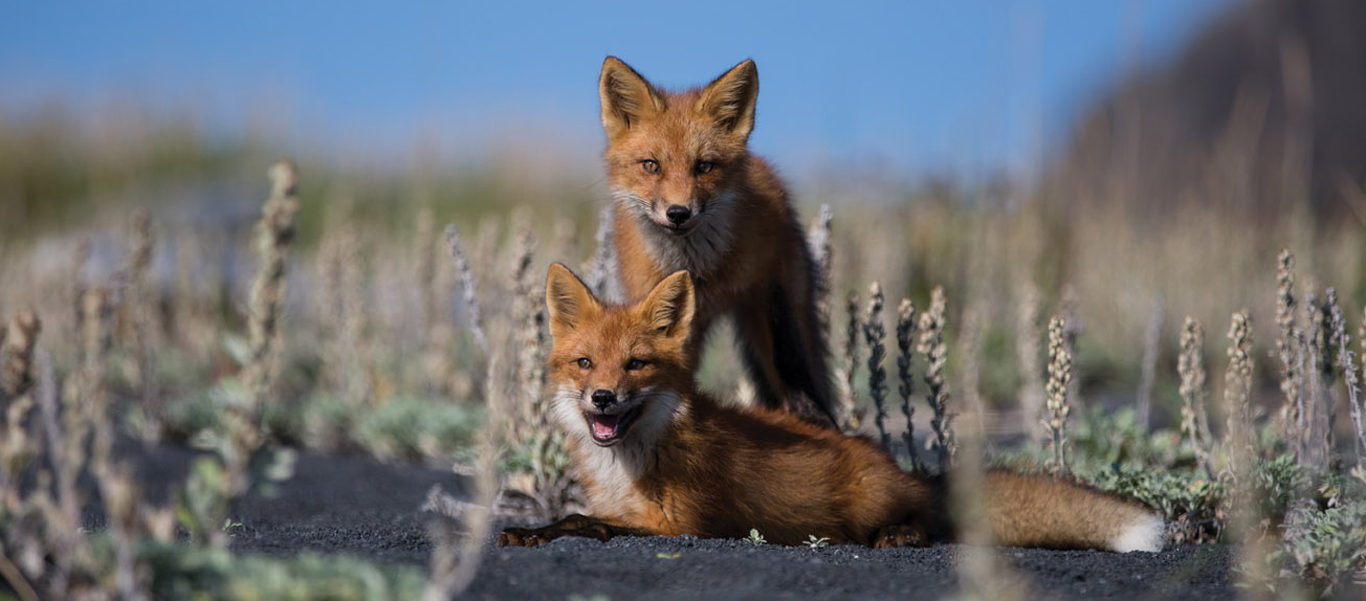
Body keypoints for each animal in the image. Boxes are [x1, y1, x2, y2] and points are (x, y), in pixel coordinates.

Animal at [497, 263, 1166, 552]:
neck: (639, 456)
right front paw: (526, 529)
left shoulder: (686, 524)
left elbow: (582, 520)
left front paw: (537, 531)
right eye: (586, 364)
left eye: (635, 365)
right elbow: (582, 513)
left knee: (927, 522)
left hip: (872, 503)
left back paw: (901, 535)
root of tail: (903, 469)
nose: (603, 398)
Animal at [597, 56, 838, 427]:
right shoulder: (668, 323)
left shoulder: (771, 282)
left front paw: (809, 414)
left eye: (704, 166)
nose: (678, 213)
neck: (703, 272)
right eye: (651, 165)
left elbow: (789, 362)